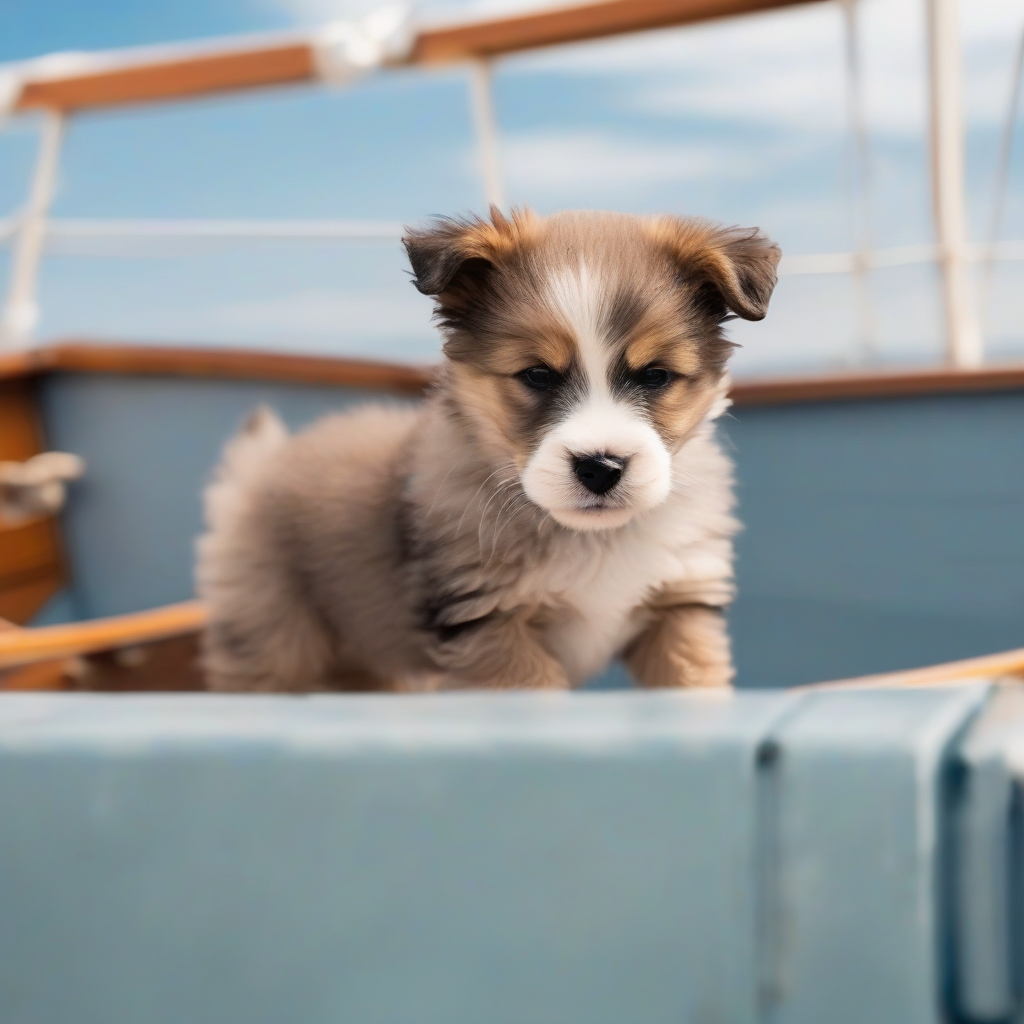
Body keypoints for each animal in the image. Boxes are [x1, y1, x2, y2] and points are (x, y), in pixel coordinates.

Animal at [197, 207, 774, 692]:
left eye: (655, 375)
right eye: (536, 374)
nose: (600, 467)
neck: (594, 541)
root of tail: (264, 465)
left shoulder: (680, 612)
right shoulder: (490, 630)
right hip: (274, 642)